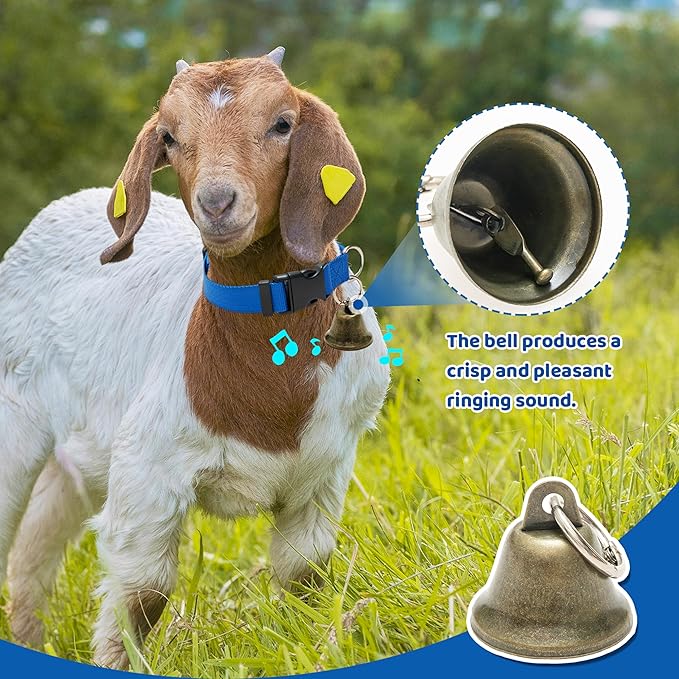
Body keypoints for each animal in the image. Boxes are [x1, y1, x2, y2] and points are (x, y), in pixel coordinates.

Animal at [0, 47, 390, 669]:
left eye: (282, 124)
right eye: (169, 136)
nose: (217, 202)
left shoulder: (327, 470)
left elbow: (305, 573)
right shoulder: (148, 465)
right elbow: (144, 591)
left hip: (82, 449)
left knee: (36, 544)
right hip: (16, 417)